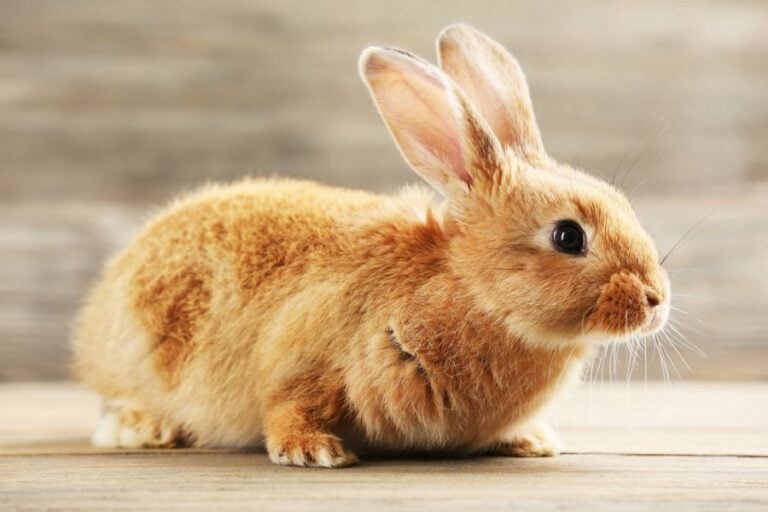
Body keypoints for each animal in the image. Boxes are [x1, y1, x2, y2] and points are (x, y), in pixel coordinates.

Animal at [73, 23, 670, 468]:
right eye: (569, 236)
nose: (656, 301)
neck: (472, 296)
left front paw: (533, 441)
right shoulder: (305, 354)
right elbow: (289, 404)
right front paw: (313, 452)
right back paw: (142, 429)